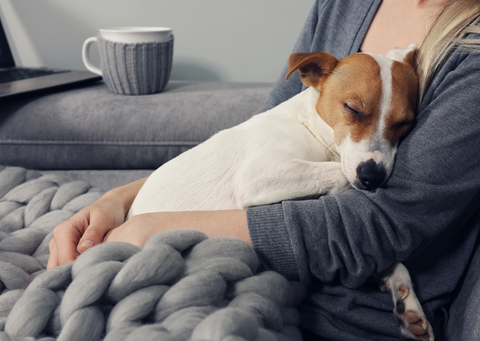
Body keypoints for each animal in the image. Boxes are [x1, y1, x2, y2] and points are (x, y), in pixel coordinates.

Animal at [128, 43, 436, 338]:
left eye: (404, 123)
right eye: (352, 108)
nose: (372, 177)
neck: (312, 130)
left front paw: (404, 294)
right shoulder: (259, 174)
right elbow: (337, 174)